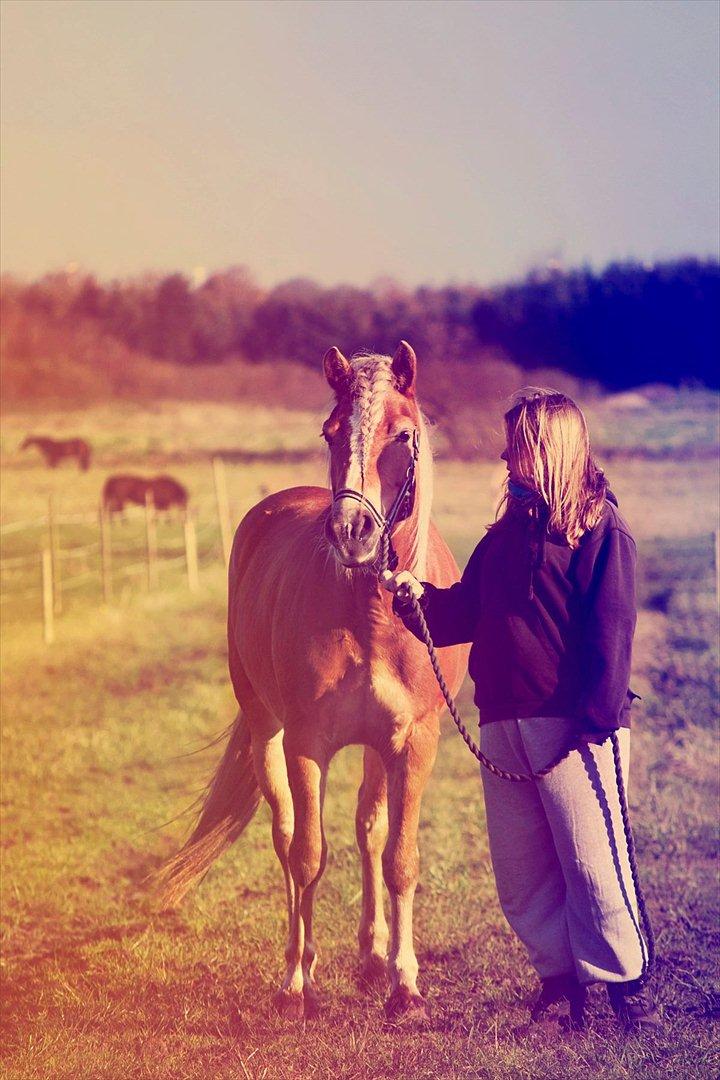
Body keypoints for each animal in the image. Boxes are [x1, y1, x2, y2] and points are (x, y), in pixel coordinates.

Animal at [158, 343, 468, 1019]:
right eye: (330, 433)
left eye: (401, 434)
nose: (353, 531)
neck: (374, 612)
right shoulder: (307, 744)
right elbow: (307, 856)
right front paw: (297, 985)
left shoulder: (415, 743)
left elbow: (399, 857)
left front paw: (404, 985)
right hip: (266, 730)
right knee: (285, 837)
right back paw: (301, 959)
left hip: (378, 750)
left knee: (369, 831)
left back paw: (372, 957)